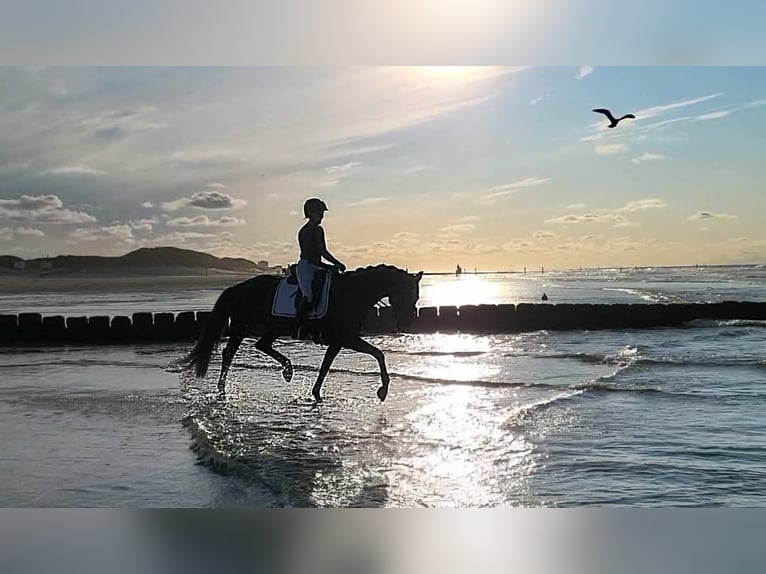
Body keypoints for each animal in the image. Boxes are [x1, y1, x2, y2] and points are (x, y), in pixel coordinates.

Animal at [181, 264, 423, 402]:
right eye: (405, 294)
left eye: (416, 297)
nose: (406, 325)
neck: (352, 293)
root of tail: (240, 287)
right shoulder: (348, 339)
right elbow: (378, 354)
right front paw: (383, 391)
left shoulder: (338, 341)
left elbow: (326, 366)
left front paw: (316, 393)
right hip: (243, 327)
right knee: (229, 353)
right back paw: (222, 389)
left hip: (274, 327)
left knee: (261, 345)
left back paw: (288, 370)